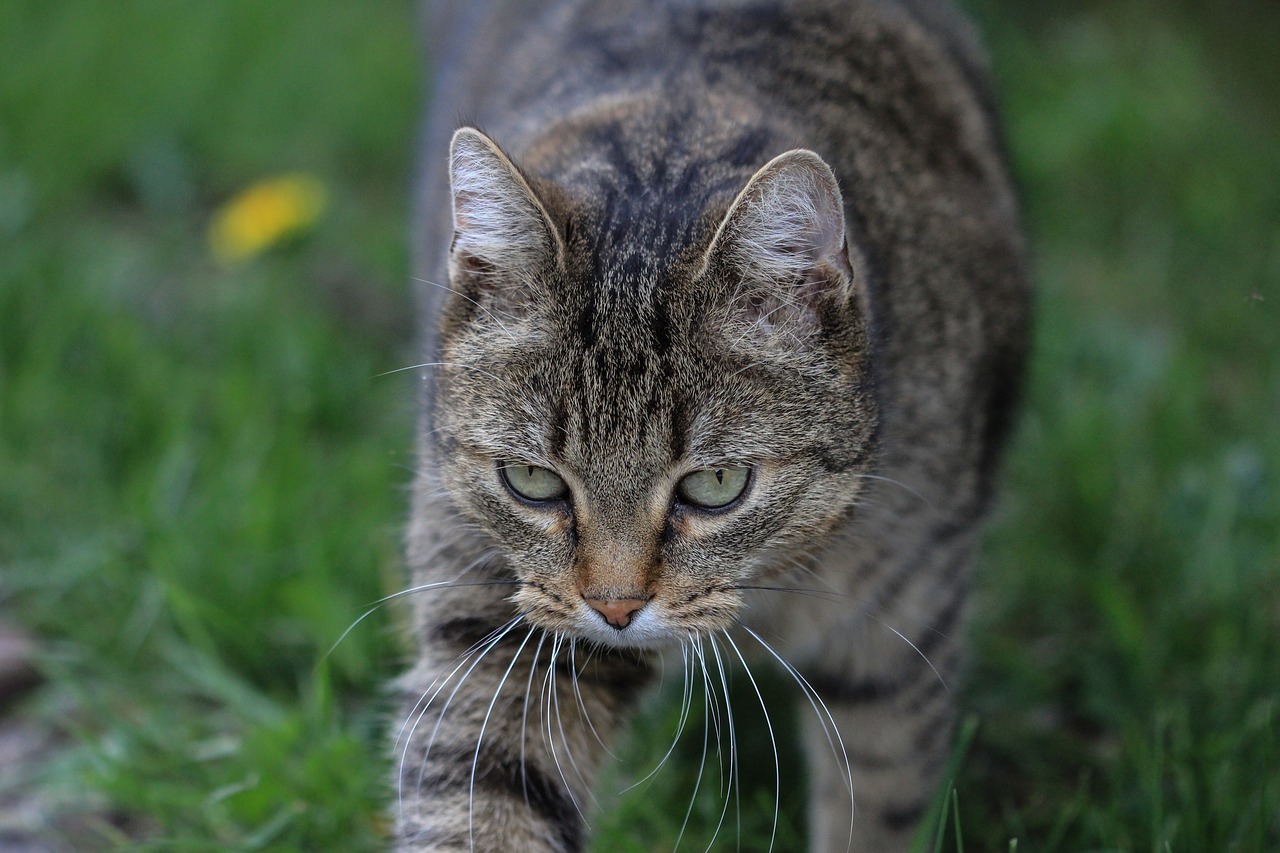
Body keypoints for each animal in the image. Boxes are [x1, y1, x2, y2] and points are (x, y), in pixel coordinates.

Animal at [396, 0, 1029, 845]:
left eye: (716, 484)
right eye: (531, 480)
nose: (616, 608)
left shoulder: (901, 635)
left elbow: (878, 800)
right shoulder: (500, 628)